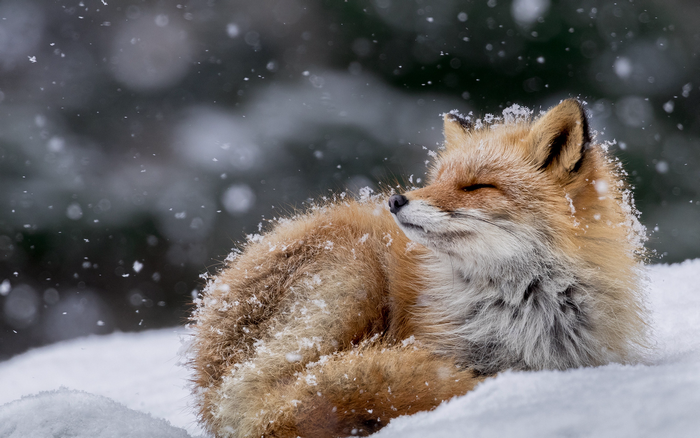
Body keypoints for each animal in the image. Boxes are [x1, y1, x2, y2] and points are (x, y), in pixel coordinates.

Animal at [189, 99, 648, 437]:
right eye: (437, 179)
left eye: (476, 186)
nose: (395, 200)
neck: (522, 307)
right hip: (355, 274)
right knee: (283, 407)